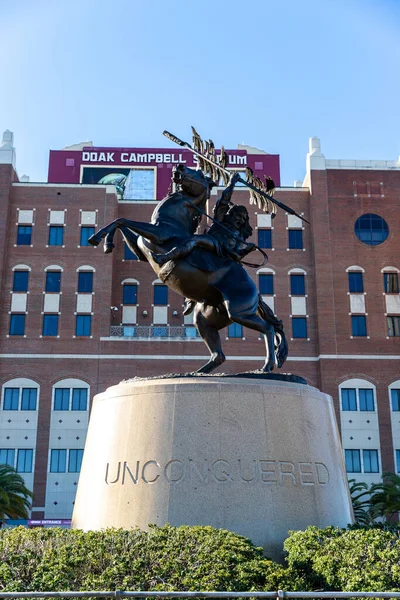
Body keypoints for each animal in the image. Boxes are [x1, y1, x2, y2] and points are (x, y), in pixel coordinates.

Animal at [88, 162, 288, 372]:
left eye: (199, 173)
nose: (180, 166)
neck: (173, 222)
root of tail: (257, 294)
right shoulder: (140, 251)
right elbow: (121, 224)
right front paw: (106, 243)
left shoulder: (158, 234)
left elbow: (122, 220)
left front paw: (97, 238)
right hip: (206, 319)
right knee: (219, 355)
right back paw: (199, 372)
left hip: (239, 312)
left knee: (268, 328)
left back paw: (267, 366)